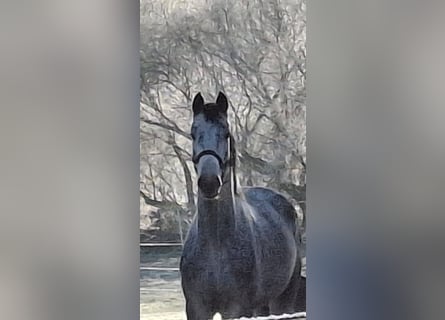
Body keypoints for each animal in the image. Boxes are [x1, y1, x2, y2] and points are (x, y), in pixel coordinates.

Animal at [179, 91, 304, 318]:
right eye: (193, 133)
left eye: (226, 133)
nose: (209, 182)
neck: (215, 245)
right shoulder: (196, 309)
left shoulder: (236, 309)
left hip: (283, 299)